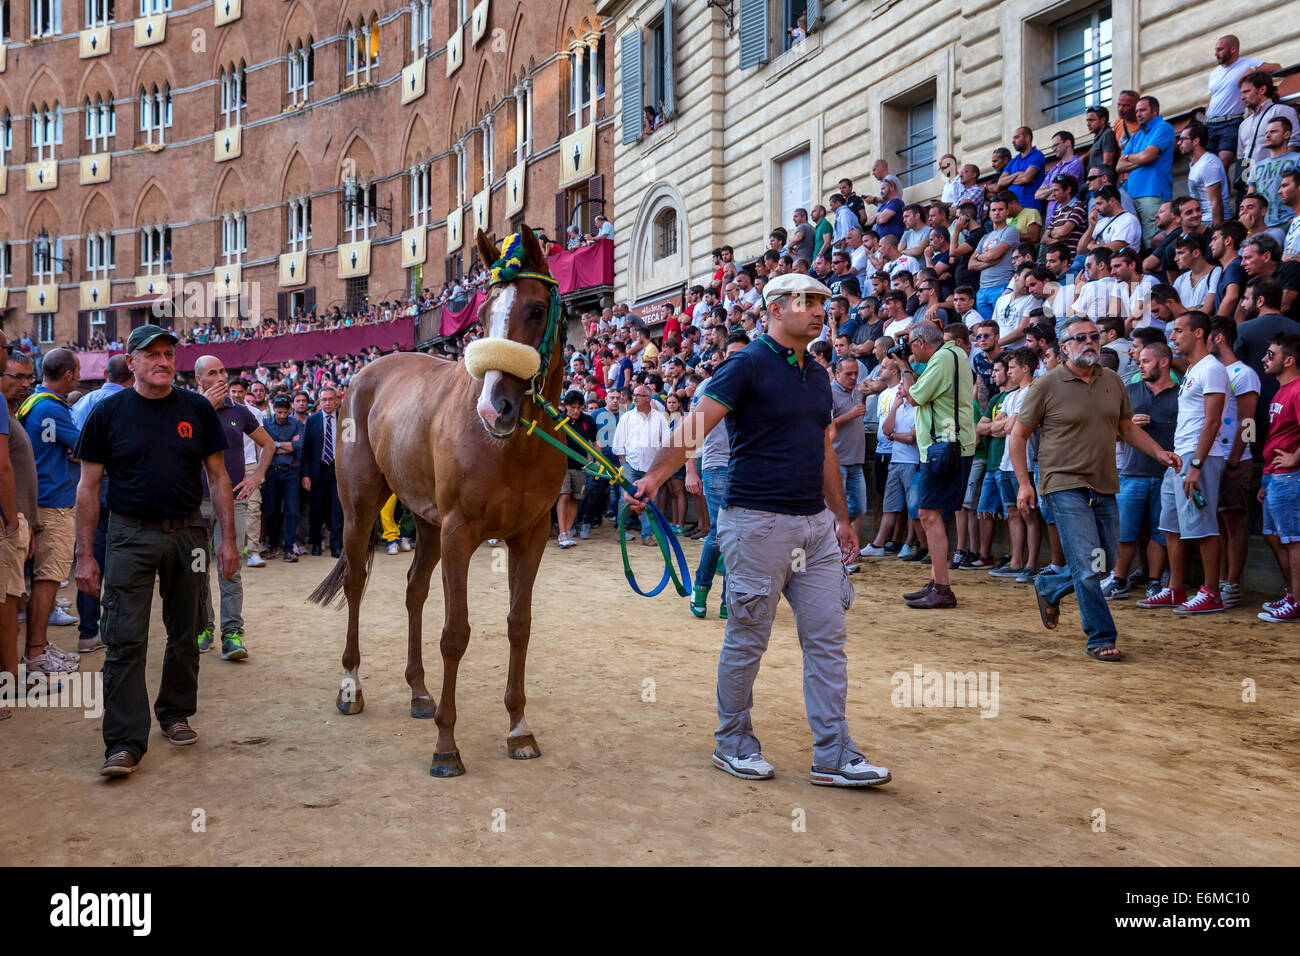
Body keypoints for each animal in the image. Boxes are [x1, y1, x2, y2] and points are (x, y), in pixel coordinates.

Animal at [309, 226, 569, 780]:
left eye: (536, 309)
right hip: (361, 508)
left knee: (413, 591)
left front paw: (519, 729)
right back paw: (351, 686)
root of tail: (365, 374)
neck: (509, 447)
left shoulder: (532, 533)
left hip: (424, 519)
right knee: (358, 585)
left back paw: (419, 691)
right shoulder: (459, 532)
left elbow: (519, 625)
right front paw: (446, 746)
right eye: (485, 310)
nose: (495, 407)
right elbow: (455, 633)